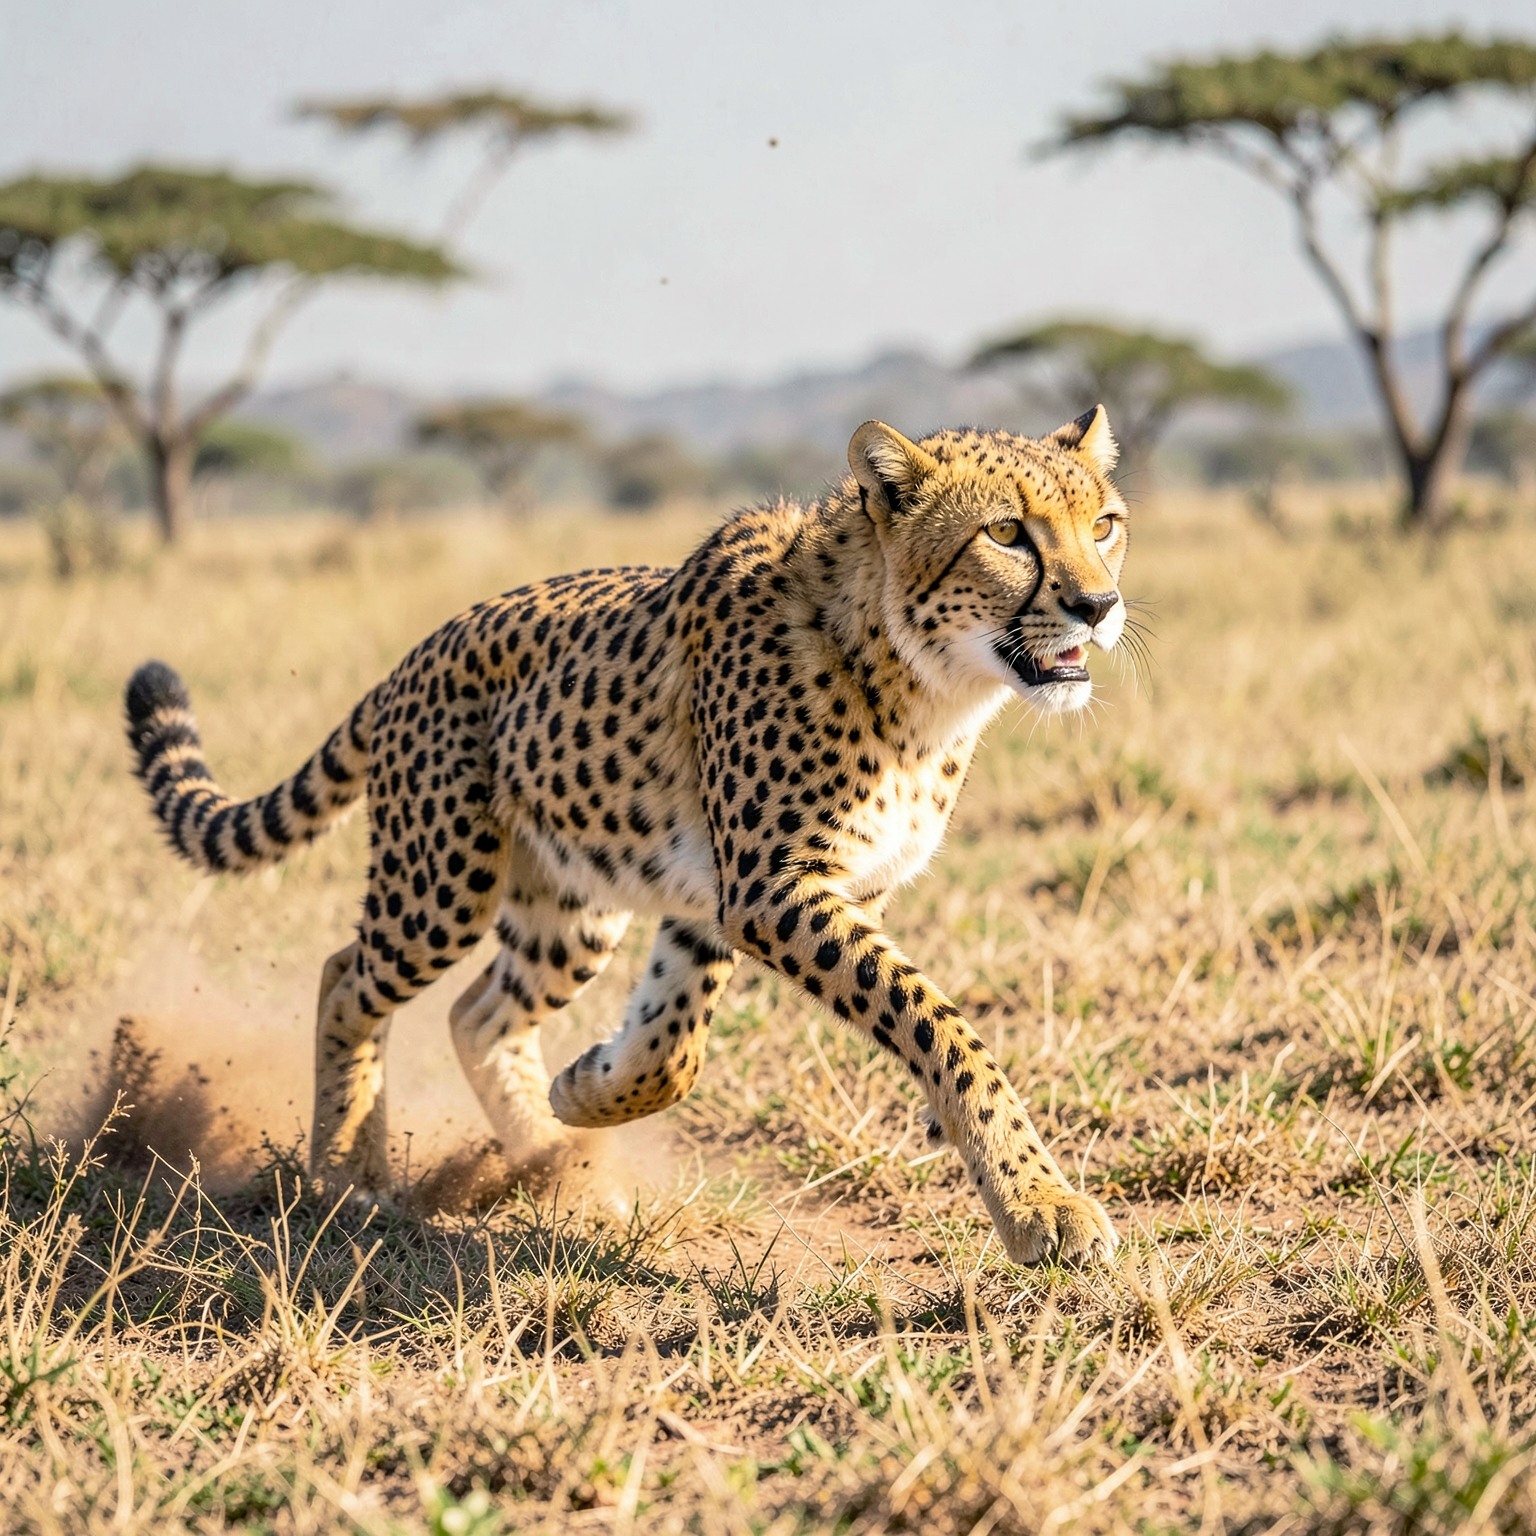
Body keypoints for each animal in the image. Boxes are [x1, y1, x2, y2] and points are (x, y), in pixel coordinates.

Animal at [124, 407, 1132, 1265]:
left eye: (1106, 524)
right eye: (1007, 533)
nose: (1098, 605)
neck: (920, 679)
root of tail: (411, 657)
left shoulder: (732, 898)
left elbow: (669, 1050)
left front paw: (586, 1089)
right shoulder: (771, 887)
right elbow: (941, 1028)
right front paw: (1042, 1206)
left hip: (568, 909)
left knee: (477, 1012)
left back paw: (550, 1164)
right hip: (441, 885)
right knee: (348, 977)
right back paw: (344, 1172)